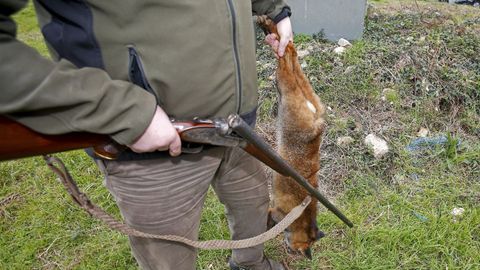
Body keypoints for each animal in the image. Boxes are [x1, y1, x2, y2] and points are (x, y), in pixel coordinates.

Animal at [258, 15, 326, 260]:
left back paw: (270, 28)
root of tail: (317, 123)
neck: (302, 213)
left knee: (290, 51)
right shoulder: (276, 212)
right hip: (285, 86)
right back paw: (269, 30)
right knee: (286, 59)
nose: (293, 250)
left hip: (294, 87)